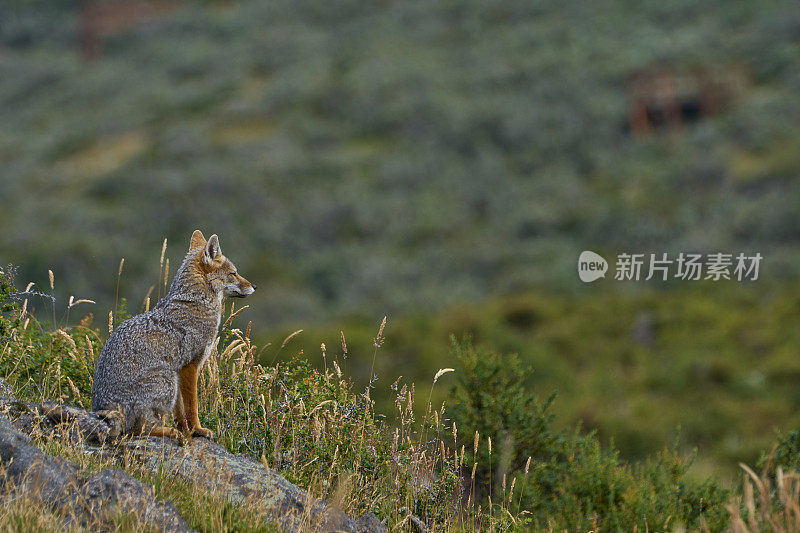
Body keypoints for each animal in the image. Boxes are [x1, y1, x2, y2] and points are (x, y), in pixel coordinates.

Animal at [93, 231, 256, 438]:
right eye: (234, 273)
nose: (255, 286)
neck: (195, 302)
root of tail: (105, 409)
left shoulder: (180, 370)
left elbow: (180, 411)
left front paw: (186, 431)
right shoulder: (190, 366)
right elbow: (192, 406)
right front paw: (198, 430)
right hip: (166, 378)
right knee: (140, 429)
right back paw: (169, 432)